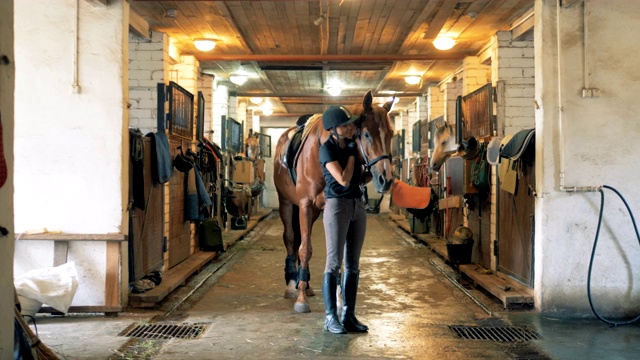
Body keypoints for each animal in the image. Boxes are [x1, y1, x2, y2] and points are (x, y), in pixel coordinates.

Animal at [272, 90, 396, 312]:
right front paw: (301, 300)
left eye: (391, 134)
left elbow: (337, 251)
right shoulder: (305, 205)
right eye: (366, 134)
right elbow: (305, 249)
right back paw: (292, 285)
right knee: (291, 239)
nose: (386, 179)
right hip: (286, 203)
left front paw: (338, 299)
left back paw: (306, 284)